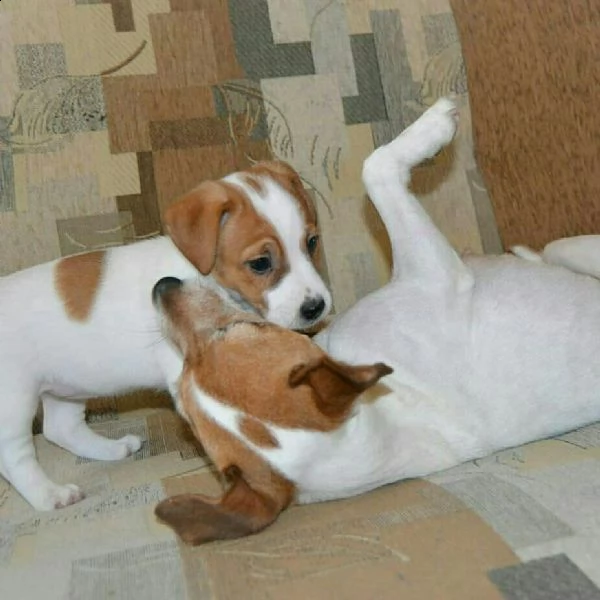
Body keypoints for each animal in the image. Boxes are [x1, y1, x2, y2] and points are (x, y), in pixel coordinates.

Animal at [0, 159, 332, 510]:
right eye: (260, 263)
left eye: (312, 242)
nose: (316, 307)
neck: (201, 274)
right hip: (14, 401)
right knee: (14, 457)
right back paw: (48, 495)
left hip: (68, 386)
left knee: (60, 429)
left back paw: (110, 449)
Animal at [151, 99, 600, 548]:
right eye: (182, 404)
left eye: (242, 330)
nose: (161, 286)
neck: (387, 406)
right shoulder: (439, 273)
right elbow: (377, 166)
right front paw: (435, 125)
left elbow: (376, 167)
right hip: (577, 248)